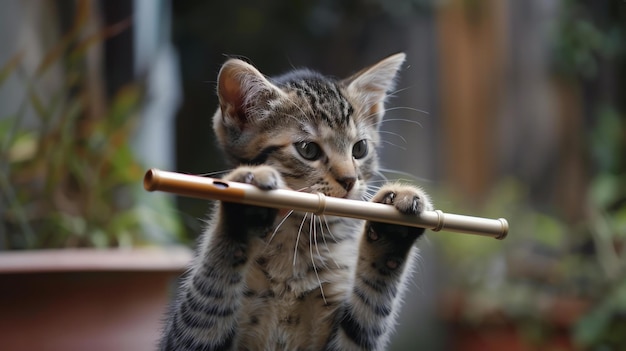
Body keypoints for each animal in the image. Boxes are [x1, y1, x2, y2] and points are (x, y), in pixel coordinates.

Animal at [161, 53, 432, 351]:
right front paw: (243, 210)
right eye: (308, 150)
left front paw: (392, 230)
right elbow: (210, 296)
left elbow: (366, 314)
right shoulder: (190, 338)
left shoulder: (347, 337)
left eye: (360, 149)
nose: (350, 179)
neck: (296, 239)